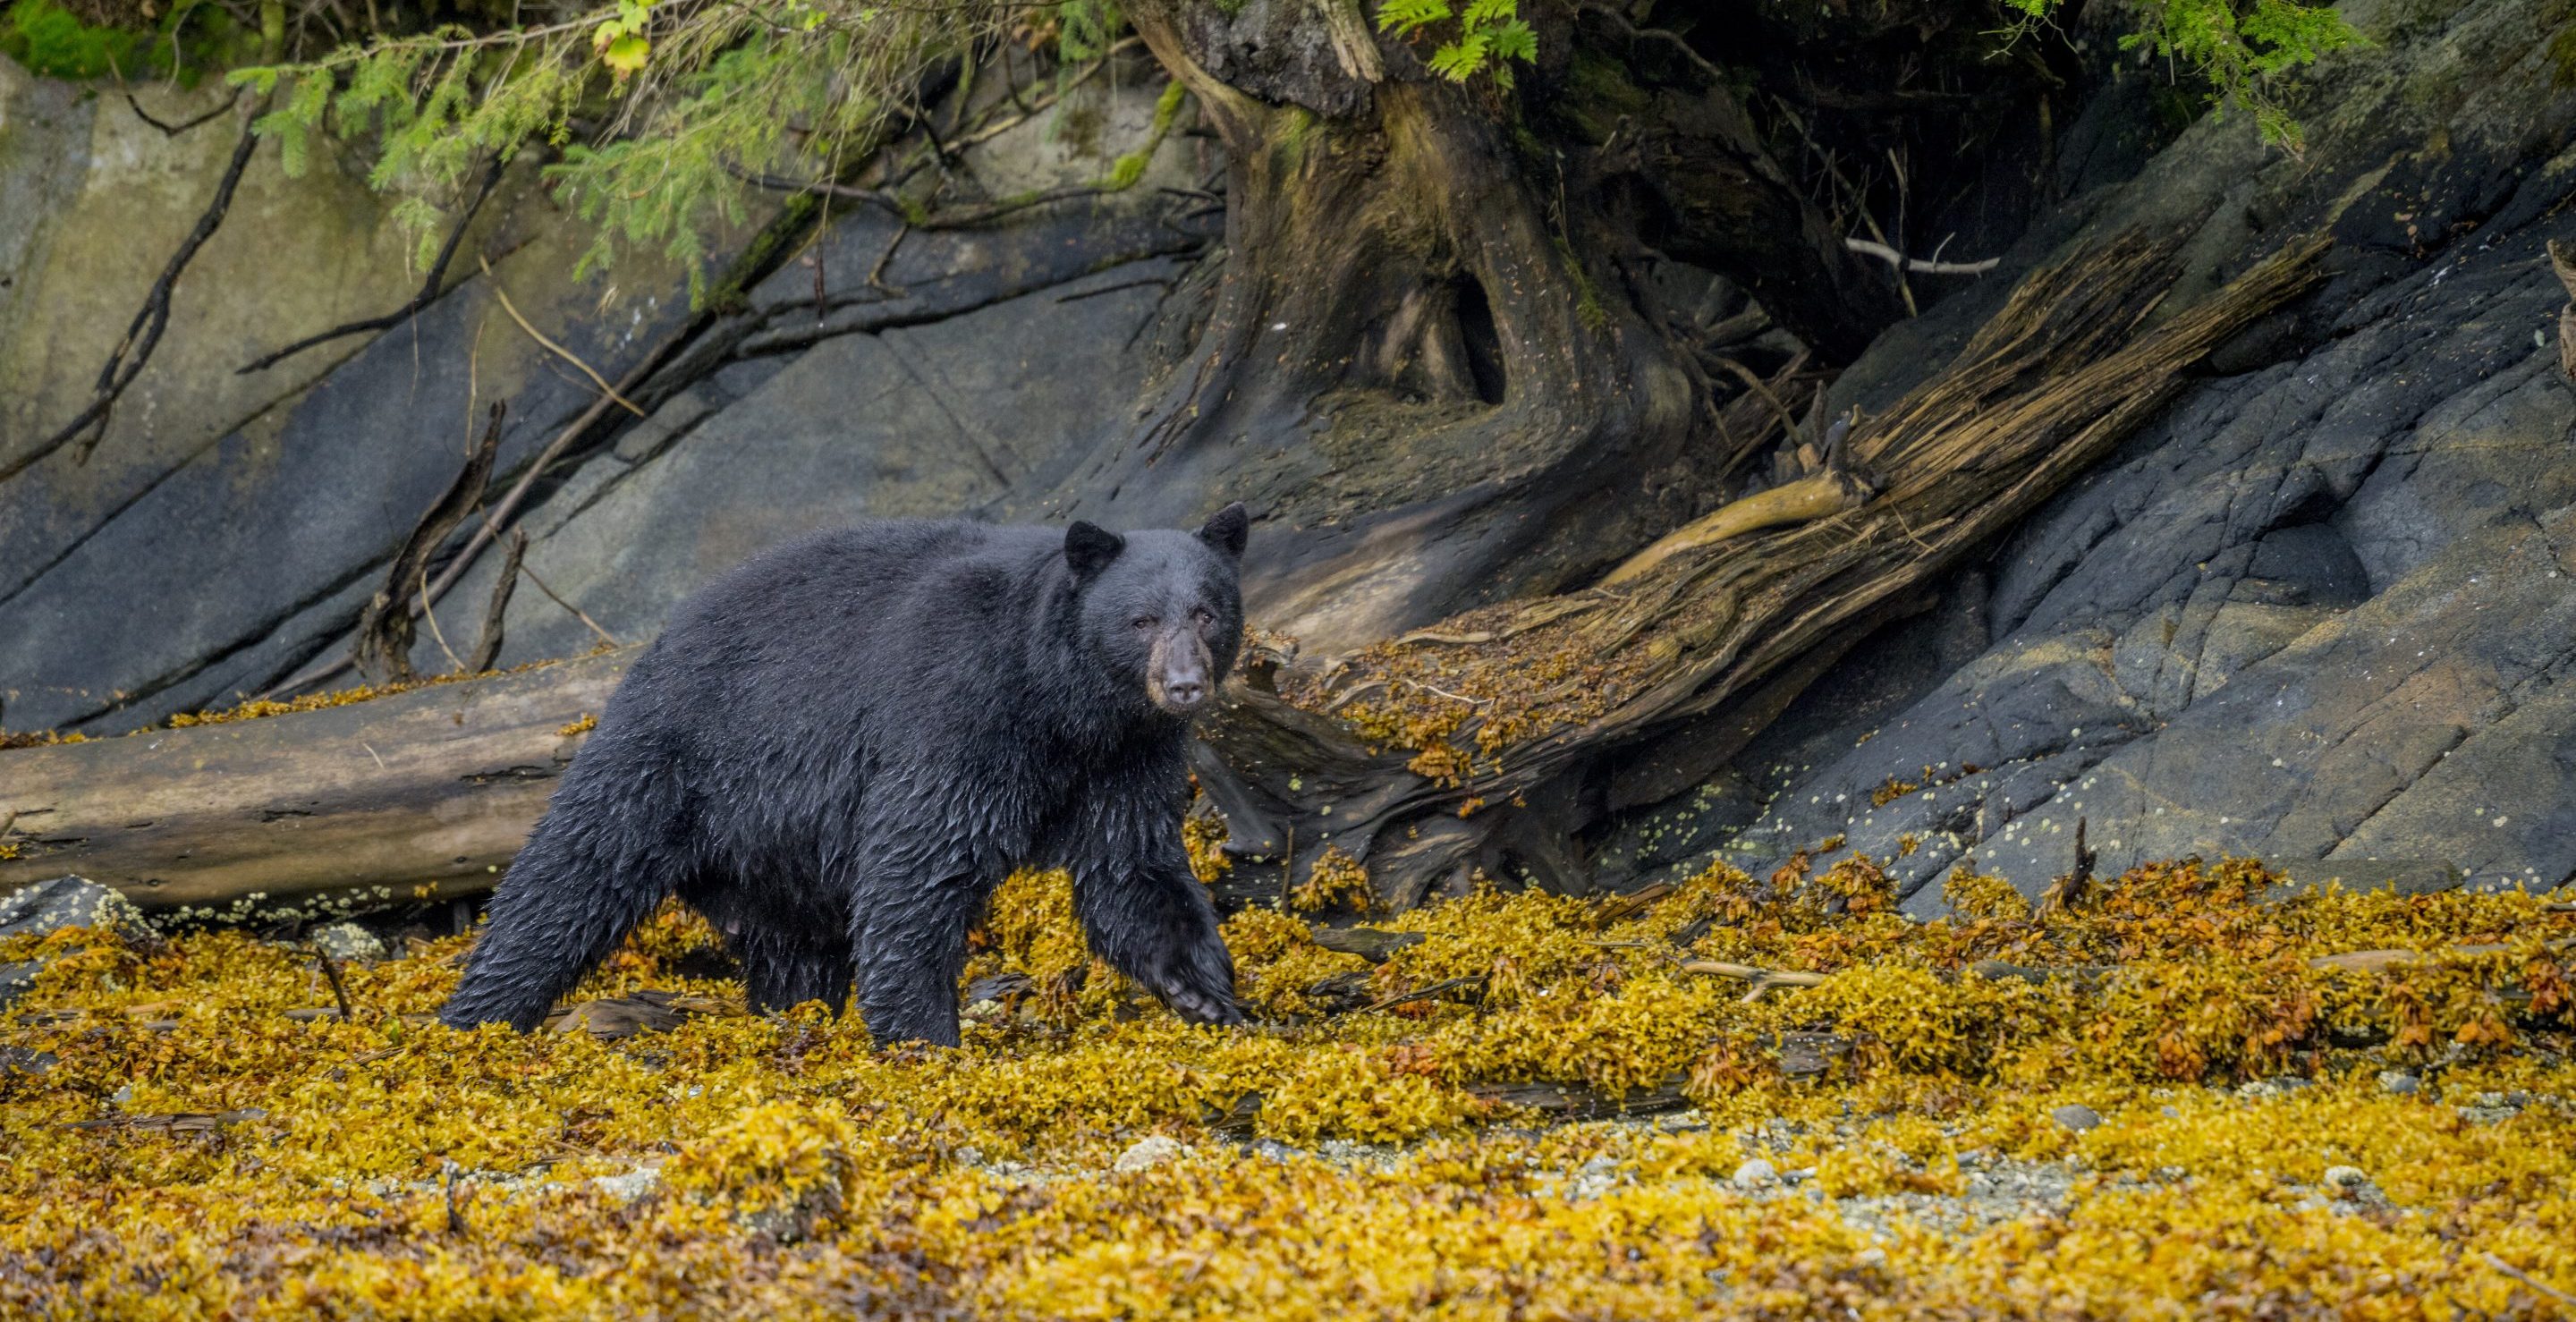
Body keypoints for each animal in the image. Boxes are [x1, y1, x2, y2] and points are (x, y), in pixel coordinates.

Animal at [437, 505, 1253, 1047]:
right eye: (1141, 620)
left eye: (1207, 612)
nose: (1184, 686)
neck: (1067, 706)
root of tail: (654, 643)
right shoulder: (960, 712)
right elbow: (918, 863)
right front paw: (922, 1036)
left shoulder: (1126, 758)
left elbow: (1131, 867)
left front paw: (1206, 992)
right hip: (672, 761)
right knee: (565, 880)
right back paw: (473, 1021)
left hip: (779, 860)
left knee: (796, 953)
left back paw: (795, 1017)